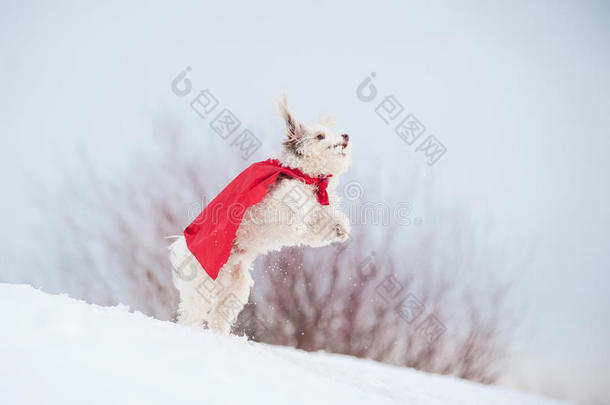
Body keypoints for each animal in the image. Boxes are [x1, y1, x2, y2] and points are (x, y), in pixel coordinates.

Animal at [167, 96, 352, 332]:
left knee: (219, 317)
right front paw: (300, 224)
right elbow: (294, 209)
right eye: (320, 136)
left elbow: (322, 226)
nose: (345, 135)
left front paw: (340, 227)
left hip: (235, 290)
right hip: (203, 282)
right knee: (192, 314)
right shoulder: (279, 202)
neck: (305, 177)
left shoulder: (317, 213)